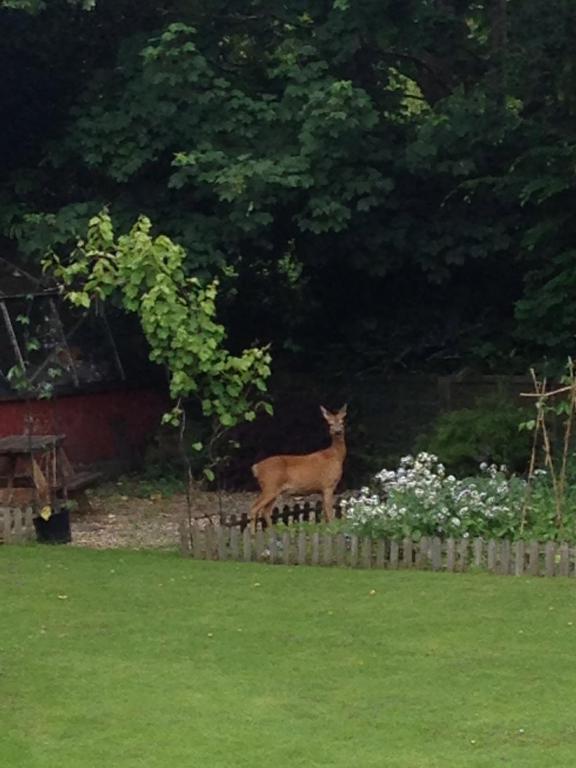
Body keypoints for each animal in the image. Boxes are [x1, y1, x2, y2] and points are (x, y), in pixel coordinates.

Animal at [249, 402, 346, 536]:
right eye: (330, 423)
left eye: (342, 421)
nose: (338, 431)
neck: (336, 456)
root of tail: (256, 468)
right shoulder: (328, 485)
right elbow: (329, 512)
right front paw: (332, 529)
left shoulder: (322, 489)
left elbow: (324, 512)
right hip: (270, 486)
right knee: (254, 508)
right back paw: (253, 534)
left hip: (273, 489)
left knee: (265, 511)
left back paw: (273, 533)